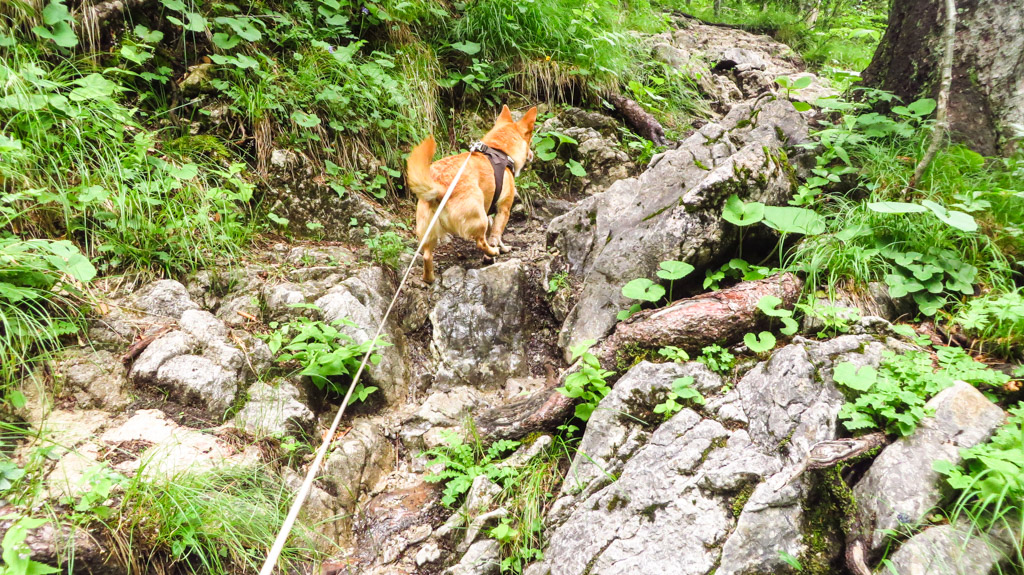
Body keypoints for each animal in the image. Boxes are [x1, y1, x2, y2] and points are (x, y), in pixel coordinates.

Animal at [405, 104, 540, 282]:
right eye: (530, 141)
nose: (532, 155)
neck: (500, 150)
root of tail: (440, 187)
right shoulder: (503, 210)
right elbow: (496, 234)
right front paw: (493, 254)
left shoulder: (490, 213)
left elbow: (496, 235)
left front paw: (503, 248)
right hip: (478, 218)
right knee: (481, 242)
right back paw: (492, 252)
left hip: (428, 232)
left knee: (427, 256)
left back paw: (429, 278)